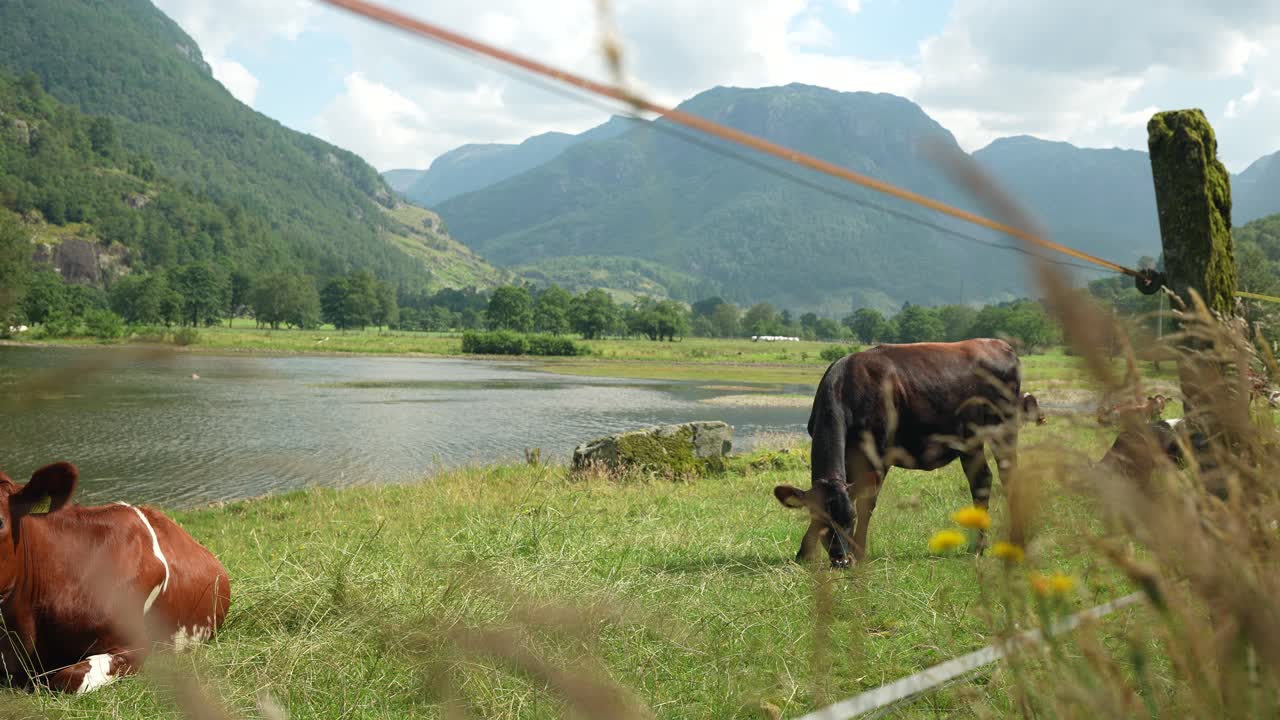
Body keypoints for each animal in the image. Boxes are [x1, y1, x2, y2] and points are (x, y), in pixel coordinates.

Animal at [773, 339, 1023, 568]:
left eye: (850, 519)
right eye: (819, 520)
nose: (841, 559)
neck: (845, 387)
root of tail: (1001, 345)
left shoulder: (878, 455)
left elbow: (867, 503)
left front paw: (859, 553)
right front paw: (803, 553)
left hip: (1004, 426)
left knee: (1008, 475)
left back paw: (1013, 542)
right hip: (969, 440)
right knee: (981, 480)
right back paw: (977, 547)